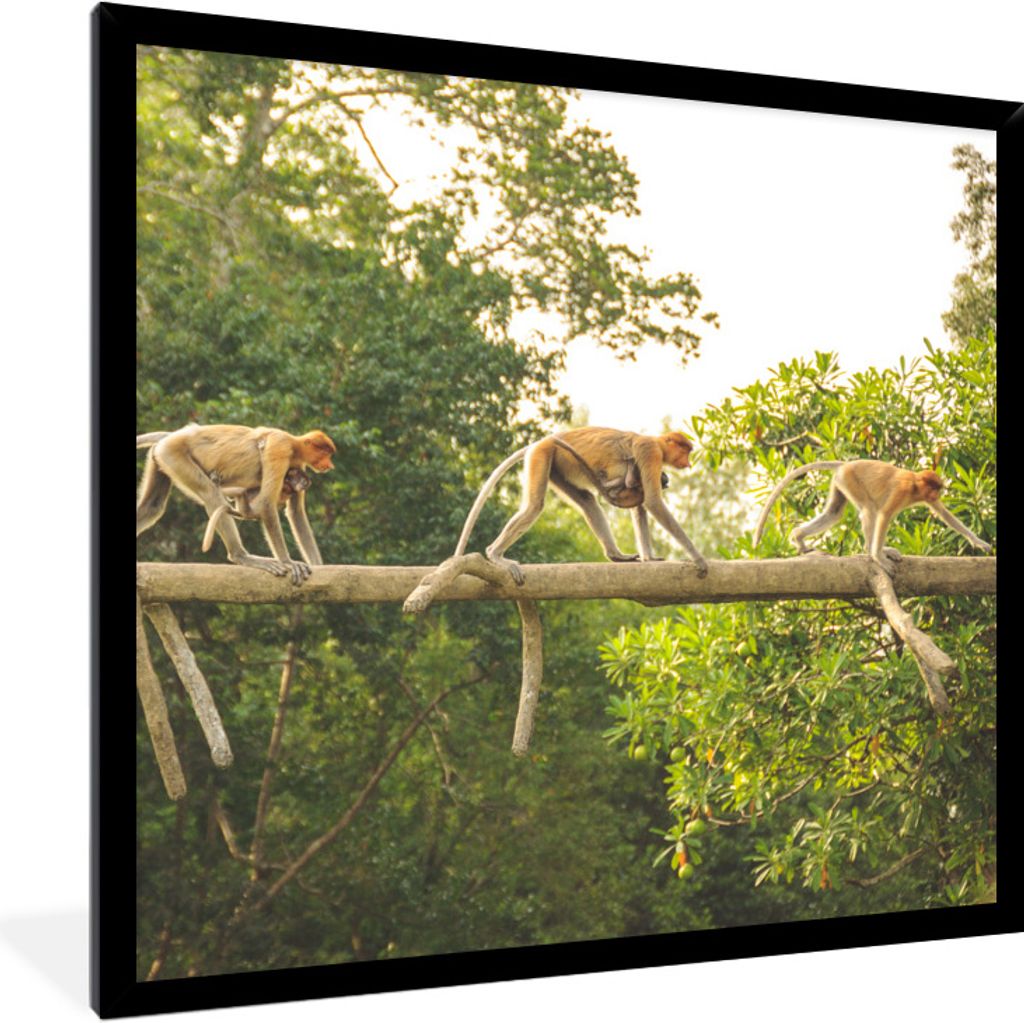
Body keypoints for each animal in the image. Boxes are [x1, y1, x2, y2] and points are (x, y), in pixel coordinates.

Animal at [137, 424, 335, 585]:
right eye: (325, 453)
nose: (329, 465)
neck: (295, 445)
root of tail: (173, 436)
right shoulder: (280, 446)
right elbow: (267, 503)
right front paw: (288, 562)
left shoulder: (299, 466)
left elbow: (296, 512)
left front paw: (319, 566)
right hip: (174, 454)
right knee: (211, 494)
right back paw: (242, 556)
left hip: (160, 457)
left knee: (152, 506)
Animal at [454, 427, 709, 584]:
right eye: (685, 450)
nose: (688, 462)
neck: (656, 442)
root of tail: (543, 441)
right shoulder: (650, 453)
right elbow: (653, 502)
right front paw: (699, 559)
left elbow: (640, 507)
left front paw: (650, 558)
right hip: (542, 455)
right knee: (535, 505)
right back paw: (495, 554)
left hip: (558, 467)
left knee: (587, 501)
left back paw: (616, 555)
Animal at [753, 459, 993, 572]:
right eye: (934, 487)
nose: (937, 493)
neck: (916, 485)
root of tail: (845, 464)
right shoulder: (901, 491)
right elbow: (885, 514)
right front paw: (878, 557)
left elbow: (944, 513)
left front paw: (980, 543)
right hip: (851, 480)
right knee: (869, 509)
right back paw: (871, 551)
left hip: (840, 483)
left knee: (834, 512)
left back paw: (798, 537)